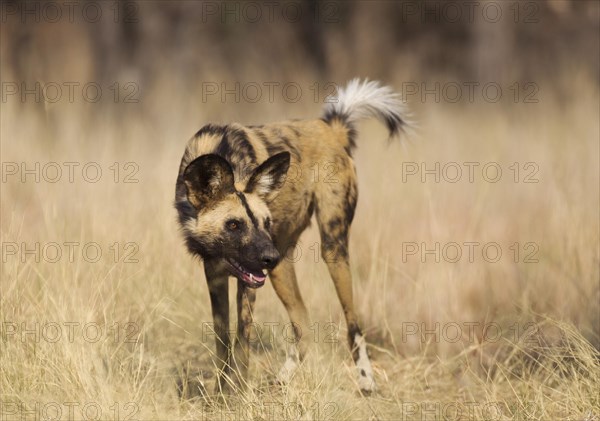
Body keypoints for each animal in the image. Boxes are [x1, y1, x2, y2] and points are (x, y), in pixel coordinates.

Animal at [175, 78, 408, 394]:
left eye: (265, 221)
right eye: (234, 225)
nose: (268, 256)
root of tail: (330, 126)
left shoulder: (248, 283)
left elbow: (242, 345)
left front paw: (237, 394)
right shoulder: (216, 275)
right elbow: (223, 344)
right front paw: (221, 394)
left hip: (331, 250)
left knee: (353, 327)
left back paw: (366, 380)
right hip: (281, 269)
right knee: (303, 326)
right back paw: (281, 381)